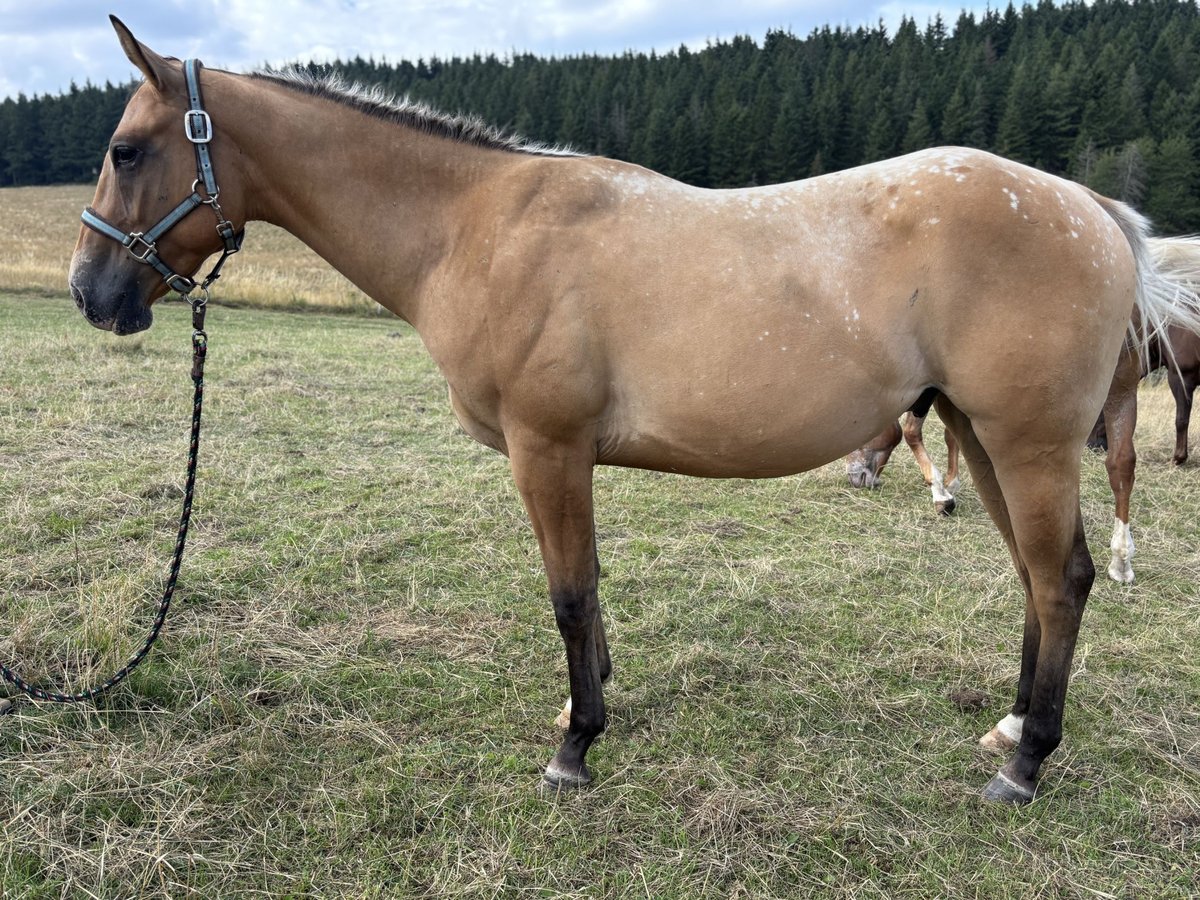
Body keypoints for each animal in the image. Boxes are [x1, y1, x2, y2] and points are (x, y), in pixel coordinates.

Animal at [68, 17, 1200, 805]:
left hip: (1028, 443)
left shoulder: (547, 449)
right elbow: (591, 593)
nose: (91, 292)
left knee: (1061, 583)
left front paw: (574, 747)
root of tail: (1092, 210)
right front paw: (590, 703)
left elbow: (569, 594)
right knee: (1037, 582)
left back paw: (1026, 764)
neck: (475, 226)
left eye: (126, 151)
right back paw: (1009, 731)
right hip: (987, 436)